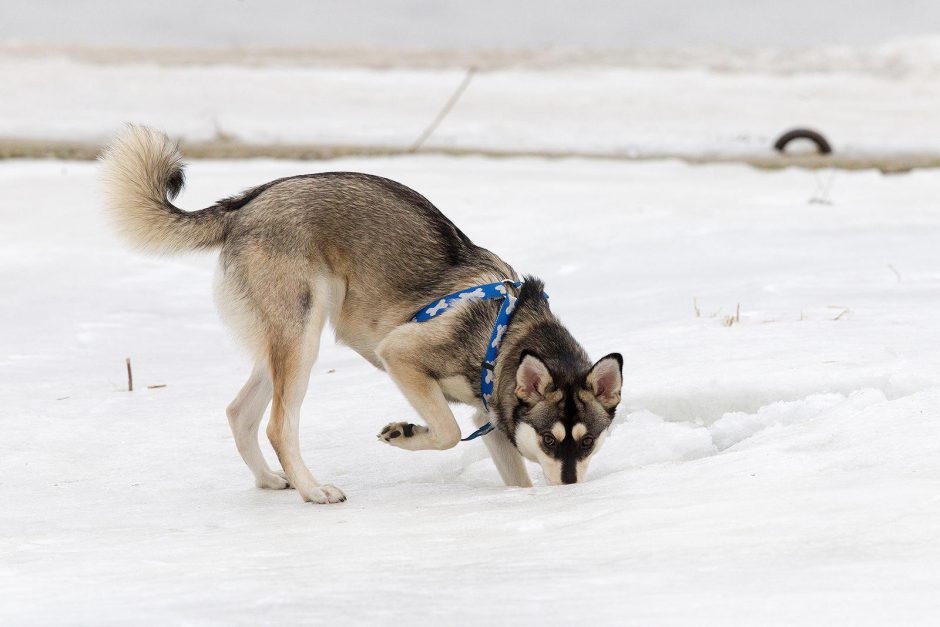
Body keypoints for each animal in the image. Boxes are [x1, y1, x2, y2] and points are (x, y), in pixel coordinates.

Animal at [99, 125, 624, 502]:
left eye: (588, 442)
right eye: (551, 440)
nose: (571, 491)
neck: (507, 333)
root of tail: (247, 203)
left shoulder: (488, 411)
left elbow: (513, 474)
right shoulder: (402, 354)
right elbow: (449, 433)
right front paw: (405, 434)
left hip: (278, 346)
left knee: (239, 413)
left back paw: (270, 480)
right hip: (303, 338)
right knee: (277, 425)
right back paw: (313, 490)